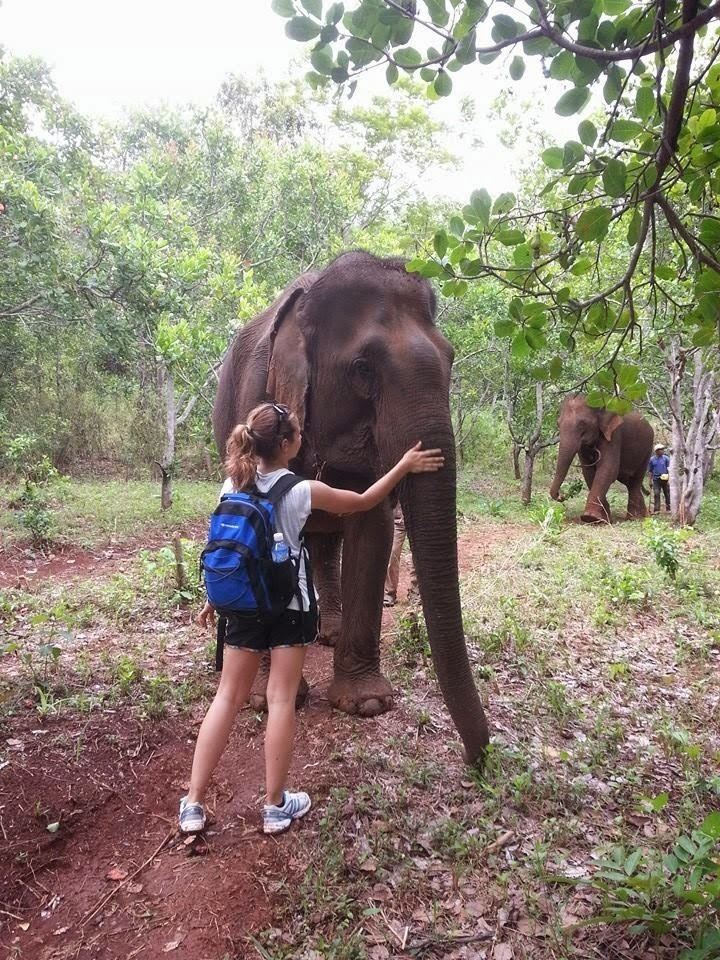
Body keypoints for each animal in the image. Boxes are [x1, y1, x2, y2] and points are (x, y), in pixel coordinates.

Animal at [214, 249, 490, 764]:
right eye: (363, 368)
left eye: (451, 358)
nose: (478, 758)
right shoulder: (254, 395)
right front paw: (264, 700)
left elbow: (372, 525)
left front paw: (366, 703)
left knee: (324, 542)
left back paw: (329, 633)